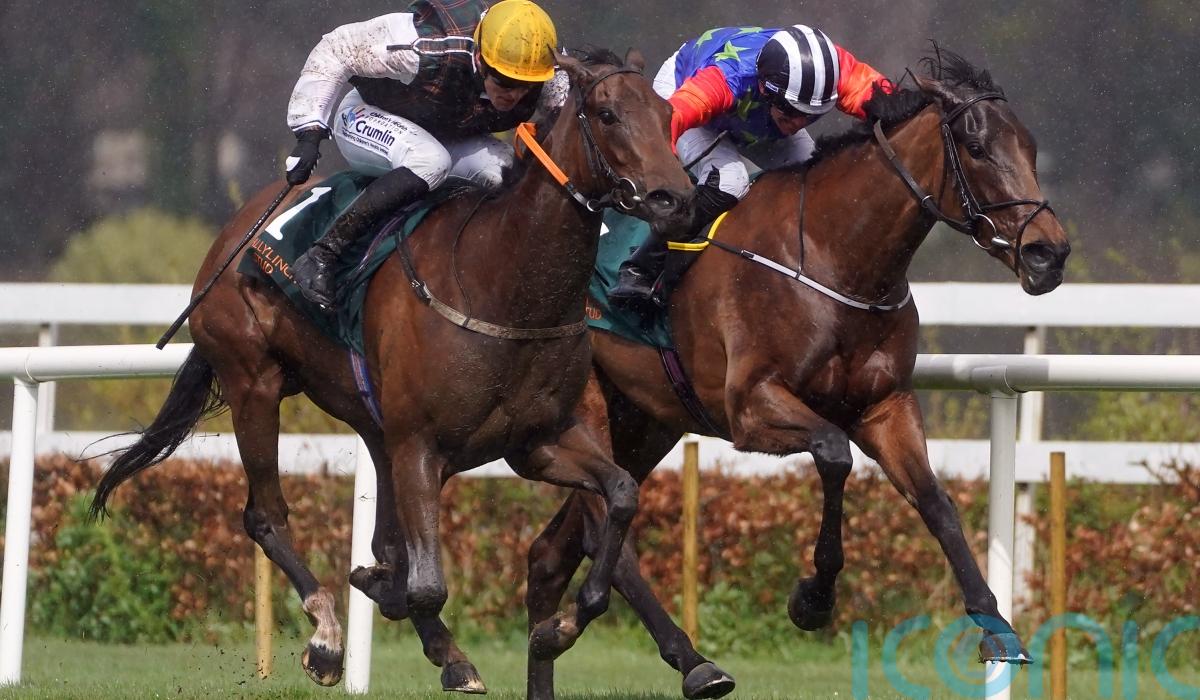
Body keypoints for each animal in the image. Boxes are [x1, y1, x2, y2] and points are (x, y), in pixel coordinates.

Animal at [88, 48, 692, 692]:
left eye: (666, 115)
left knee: (375, 534)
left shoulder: (539, 441)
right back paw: (328, 637)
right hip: (256, 381)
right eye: (607, 114)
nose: (675, 199)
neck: (501, 285)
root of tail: (232, 235)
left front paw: (557, 627)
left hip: (372, 424)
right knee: (266, 516)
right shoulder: (421, 446)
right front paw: (418, 631)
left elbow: (621, 494)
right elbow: (425, 585)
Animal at [522, 49, 1070, 700]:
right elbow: (834, 455)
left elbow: (936, 503)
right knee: (604, 523)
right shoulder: (752, 407)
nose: (1049, 254)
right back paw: (681, 658)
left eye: (1032, 148)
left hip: (646, 420)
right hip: (584, 408)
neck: (833, 256)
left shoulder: (885, 406)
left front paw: (995, 625)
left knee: (555, 548)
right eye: (978, 148)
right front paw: (813, 598)